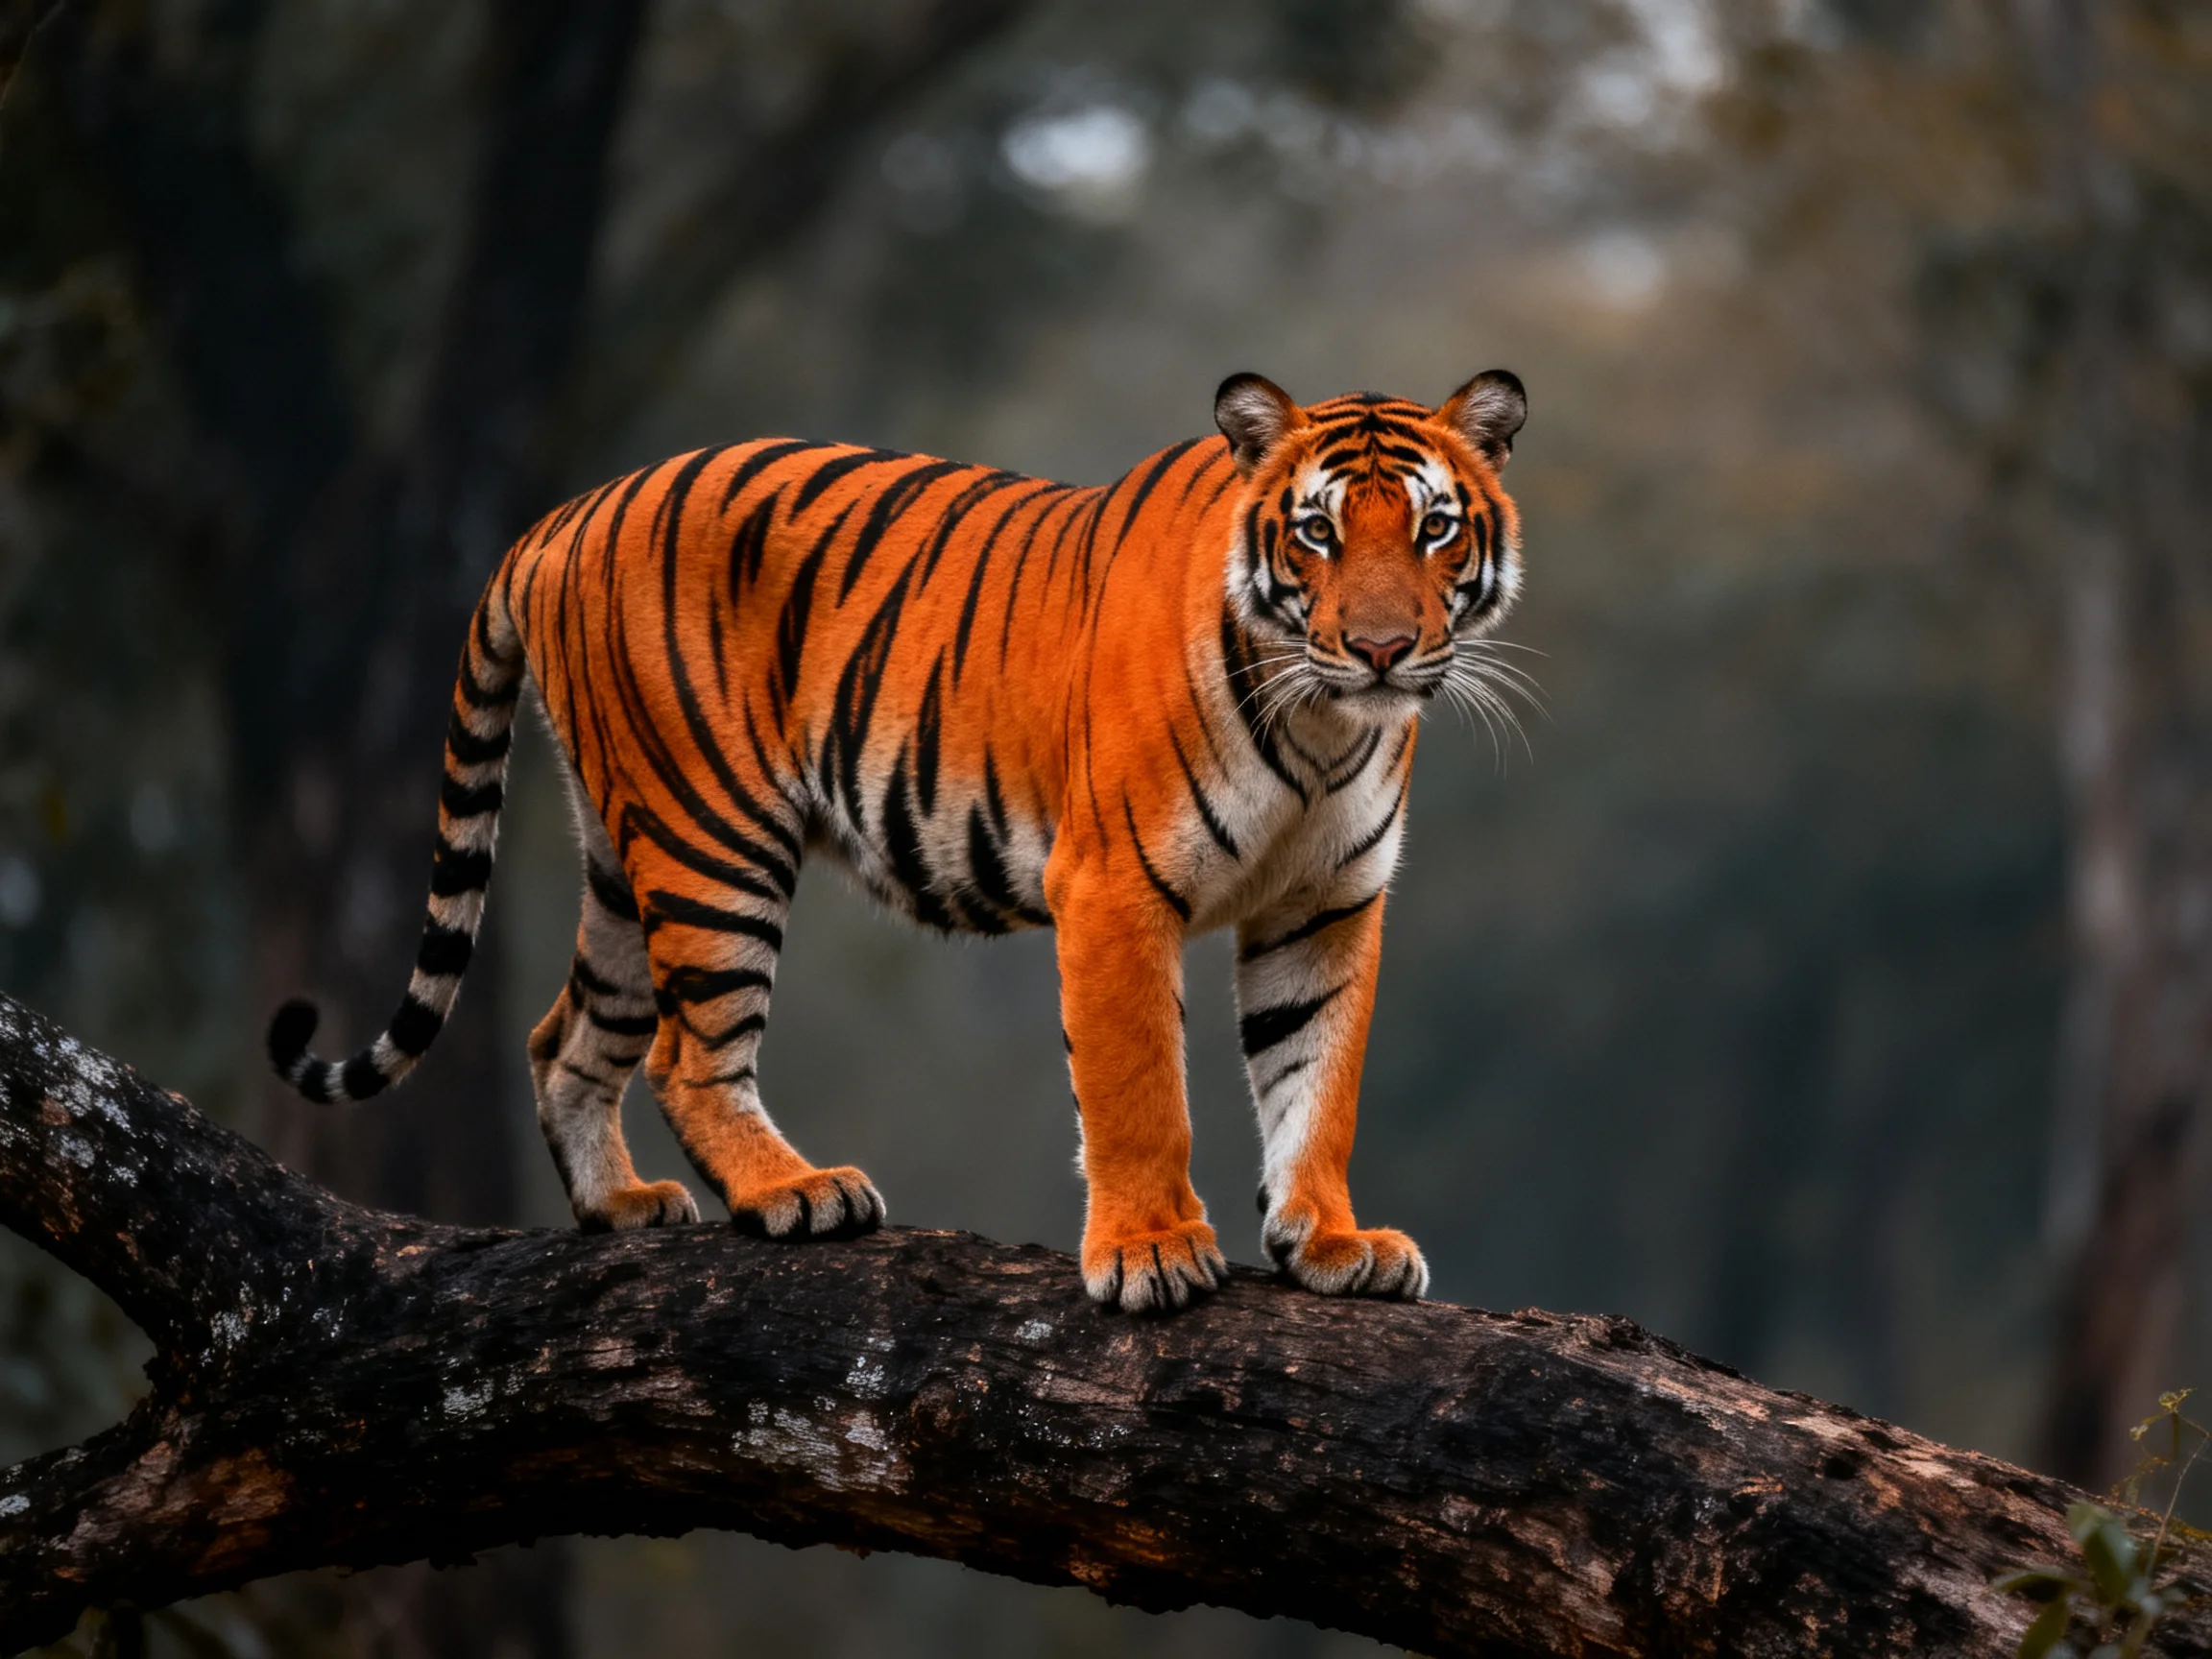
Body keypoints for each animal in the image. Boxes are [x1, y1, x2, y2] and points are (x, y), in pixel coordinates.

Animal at [268, 369, 1528, 1314]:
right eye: (1316, 533)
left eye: (1435, 529)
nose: (1380, 650)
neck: (1322, 724)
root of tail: (560, 515)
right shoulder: (1114, 885)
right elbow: (1138, 1092)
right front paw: (1151, 1251)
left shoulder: (1325, 905)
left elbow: (1317, 1079)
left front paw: (1330, 1242)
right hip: (712, 837)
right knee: (687, 1054)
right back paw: (795, 1193)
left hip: (625, 859)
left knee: (564, 1036)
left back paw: (619, 1207)